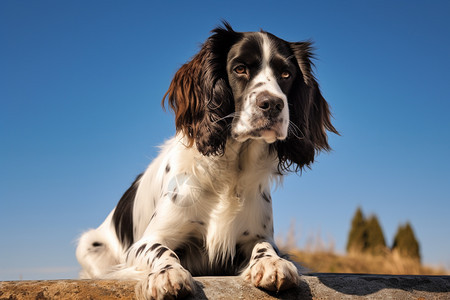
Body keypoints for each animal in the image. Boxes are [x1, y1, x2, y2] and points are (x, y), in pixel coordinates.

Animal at [76, 22, 338, 298]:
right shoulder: (146, 241)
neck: (232, 169)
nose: (273, 104)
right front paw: (167, 275)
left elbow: (265, 247)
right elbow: (162, 251)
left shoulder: (255, 236)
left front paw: (273, 264)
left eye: (286, 74)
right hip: (89, 245)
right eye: (240, 68)